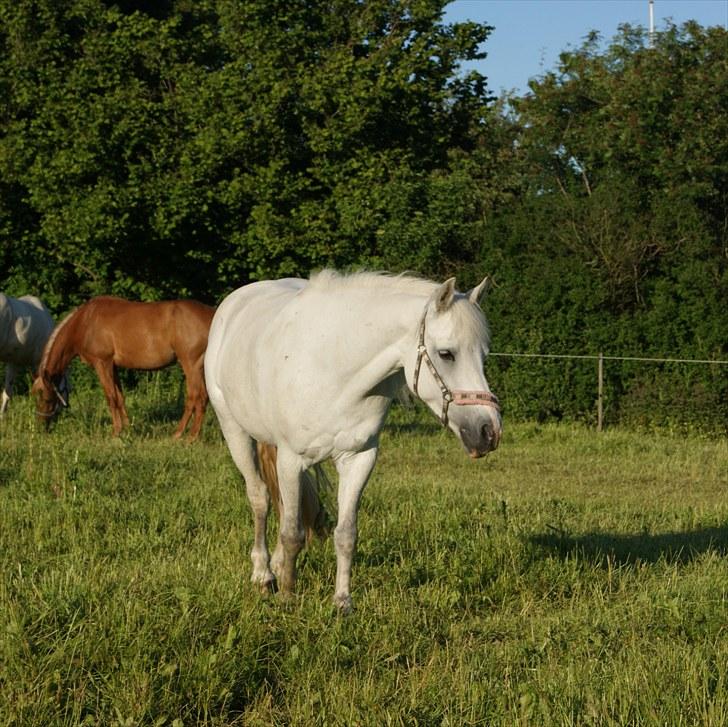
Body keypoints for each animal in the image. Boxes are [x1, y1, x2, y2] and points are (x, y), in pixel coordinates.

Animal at [33, 296, 215, 438]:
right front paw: (127, 429)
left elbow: (111, 397)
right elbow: (120, 397)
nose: (41, 426)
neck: (84, 322)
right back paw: (193, 435)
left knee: (194, 397)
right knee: (204, 398)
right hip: (199, 368)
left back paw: (182, 435)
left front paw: (116, 432)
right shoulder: (113, 367)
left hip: (190, 365)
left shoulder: (102, 363)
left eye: (47, 398)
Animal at [205, 270, 500, 612]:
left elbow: (345, 534)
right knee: (260, 498)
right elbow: (292, 533)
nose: (489, 431)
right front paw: (288, 597)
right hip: (235, 431)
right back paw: (264, 575)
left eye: (484, 355)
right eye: (446, 354)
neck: (335, 367)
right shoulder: (291, 460)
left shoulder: (359, 458)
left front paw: (343, 602)